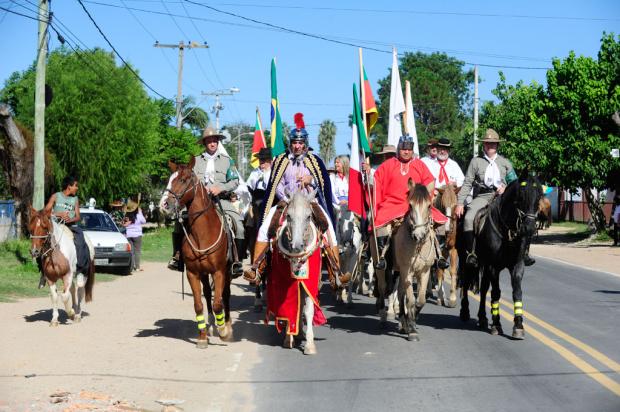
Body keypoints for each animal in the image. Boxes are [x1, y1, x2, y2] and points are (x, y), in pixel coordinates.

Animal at [161, 158, 234, 348]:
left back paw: (227, 325)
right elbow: (198, 304)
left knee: (225, 295)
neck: (202, 234)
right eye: (169, 179)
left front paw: (223, 332)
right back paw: (211, 324)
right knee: (207, 294)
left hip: (228, 271)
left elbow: (218, 303)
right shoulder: (193, 273)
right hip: (203, 273)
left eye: (183, 180)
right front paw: (202, 337)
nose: (164, 205)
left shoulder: (219, 272)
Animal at [268, 190, 326, 354]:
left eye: (308, 216)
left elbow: (308, 310)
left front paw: (309, 345)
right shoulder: (285, 282)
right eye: (288, 216)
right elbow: (289, 308)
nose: (297, 245)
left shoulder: (309, 282)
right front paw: (289, 338)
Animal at [460, 172, 544, 340]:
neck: (507, 230)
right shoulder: (493, 266)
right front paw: (497, 324)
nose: (530, 228)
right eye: (521, 197)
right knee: (465, 283)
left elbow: (517, 292)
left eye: (539, 196)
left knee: (484, 288)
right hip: (465, 261)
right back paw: (465, 312)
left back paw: (482, 318)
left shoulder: (517, 265)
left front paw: (518, 326)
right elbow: (496, 293)